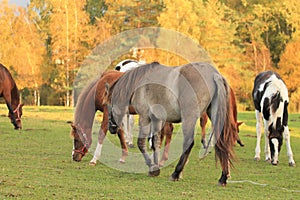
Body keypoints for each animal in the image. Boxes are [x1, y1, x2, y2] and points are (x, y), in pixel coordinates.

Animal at [106, 61, 238, 186]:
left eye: (108, 105)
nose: (111, 128)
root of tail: (214, 74)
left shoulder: (145, 117)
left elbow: (141, 143)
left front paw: (152, 167)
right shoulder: (157, 119)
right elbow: (156, 143)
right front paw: (155, 167)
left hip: (189, 118)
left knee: (188, 143)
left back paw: (176, 173)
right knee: (221, 142)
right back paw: (223, 177)